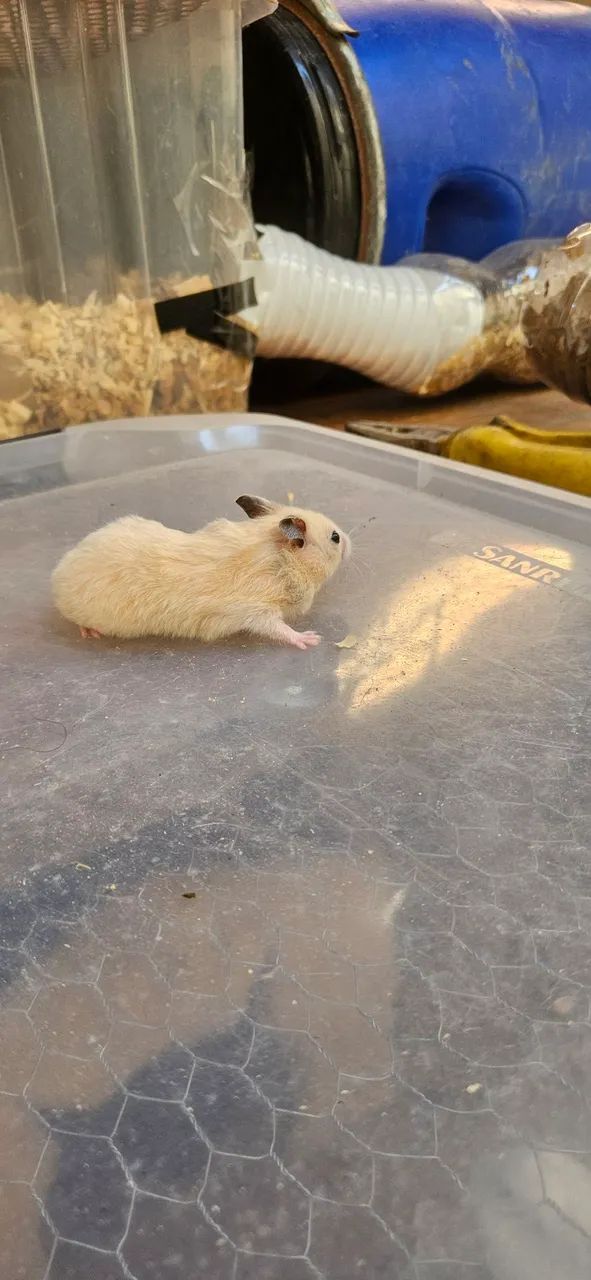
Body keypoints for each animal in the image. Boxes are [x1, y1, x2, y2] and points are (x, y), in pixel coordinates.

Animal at [51, 493, 351, 650]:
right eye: (335, 538)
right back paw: (89, 633)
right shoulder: (256, 610)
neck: (282, 561)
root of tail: (56, 576)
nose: (350, 543)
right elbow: (278, 628)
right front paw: (311, 639)